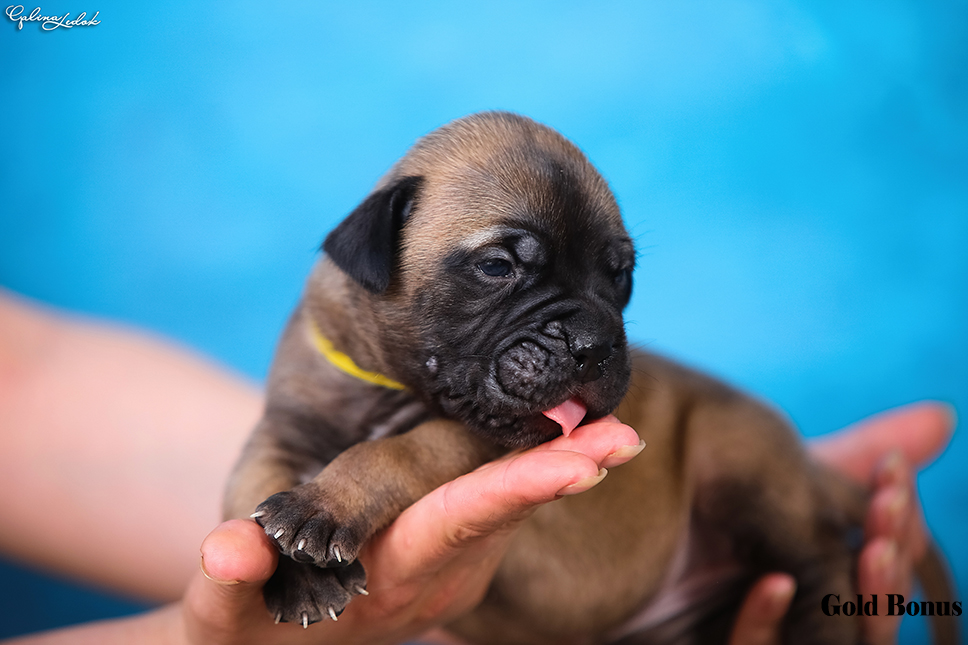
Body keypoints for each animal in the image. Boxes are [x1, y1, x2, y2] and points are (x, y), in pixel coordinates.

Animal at [223, 113, 956, 640]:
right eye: (498, 266)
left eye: (620, 275)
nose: (595, 344)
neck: (387, 383)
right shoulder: (279, 431)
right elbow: (251, 491)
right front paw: (297, 574)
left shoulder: (466, 438)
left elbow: (394, 453)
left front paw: (324, 504)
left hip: (737, 459)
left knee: (819, 557)